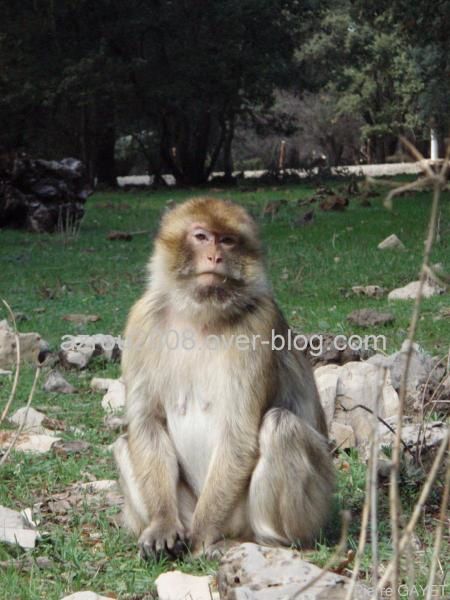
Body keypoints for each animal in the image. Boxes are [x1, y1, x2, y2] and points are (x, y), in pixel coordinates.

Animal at [113, 196, 334, 556]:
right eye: (202, 236)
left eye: (228, 241)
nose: (215, 256)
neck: (200, 314)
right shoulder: (142, 320)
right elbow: (148, 423)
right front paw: (162, 524)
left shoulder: (259, 325)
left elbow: (239, 432)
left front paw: (202, 536)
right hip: (188, 505)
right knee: (123, 442)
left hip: (301, 509)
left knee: (281, 426)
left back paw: (260, 542)